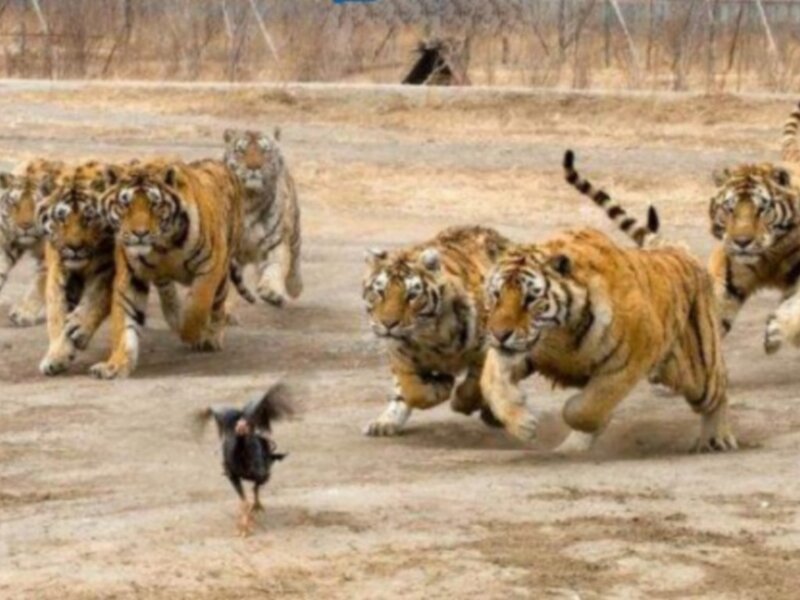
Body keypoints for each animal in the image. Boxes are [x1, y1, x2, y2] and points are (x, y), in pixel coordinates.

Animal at [0, 159, 63, 326]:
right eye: (14, 204)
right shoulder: (8, 241)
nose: (25, 226)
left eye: (36, 204)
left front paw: (24, 312)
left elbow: (40, 283)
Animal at [89, 158, 251, 380]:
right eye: (125, 204)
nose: (140, 233)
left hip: (224, 266)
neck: (162, 246)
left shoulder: (210, 266)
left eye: (155, 204)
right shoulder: (130, 276)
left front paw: (192, 334)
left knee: (218, 303)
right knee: (166, 288)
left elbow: (197, 306)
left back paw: (212, 336)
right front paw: (115, 365)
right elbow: (124, 324)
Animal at [223, 128, 302, 307]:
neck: (250, 199)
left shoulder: (275, 244)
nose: (254, 166)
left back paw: (295, 287)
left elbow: (274, 268)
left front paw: (270, 292)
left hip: (294, 230)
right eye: (241, 150)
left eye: (265, 150)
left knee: (294, 259)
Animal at [362, 225, 510, 436]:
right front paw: (442, 385)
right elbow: (412, 391)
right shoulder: (400, 354)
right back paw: (384, 423)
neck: (429, 337)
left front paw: (460, 402)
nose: (388, 324)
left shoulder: (486, 346)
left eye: (411, 296)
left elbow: (474, 385)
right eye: (380, 292)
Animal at [479, 150, 737, 454]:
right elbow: (491, 381)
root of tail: (675, 248)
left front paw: (580, 416)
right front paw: (523, 423)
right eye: (496, 295)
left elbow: (587, 407)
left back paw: (717, 438)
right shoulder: (518, 351)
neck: (560, 335)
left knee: (718, 393)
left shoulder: (628, 363)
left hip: (697, 371)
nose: (499, 334)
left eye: (531, 299)